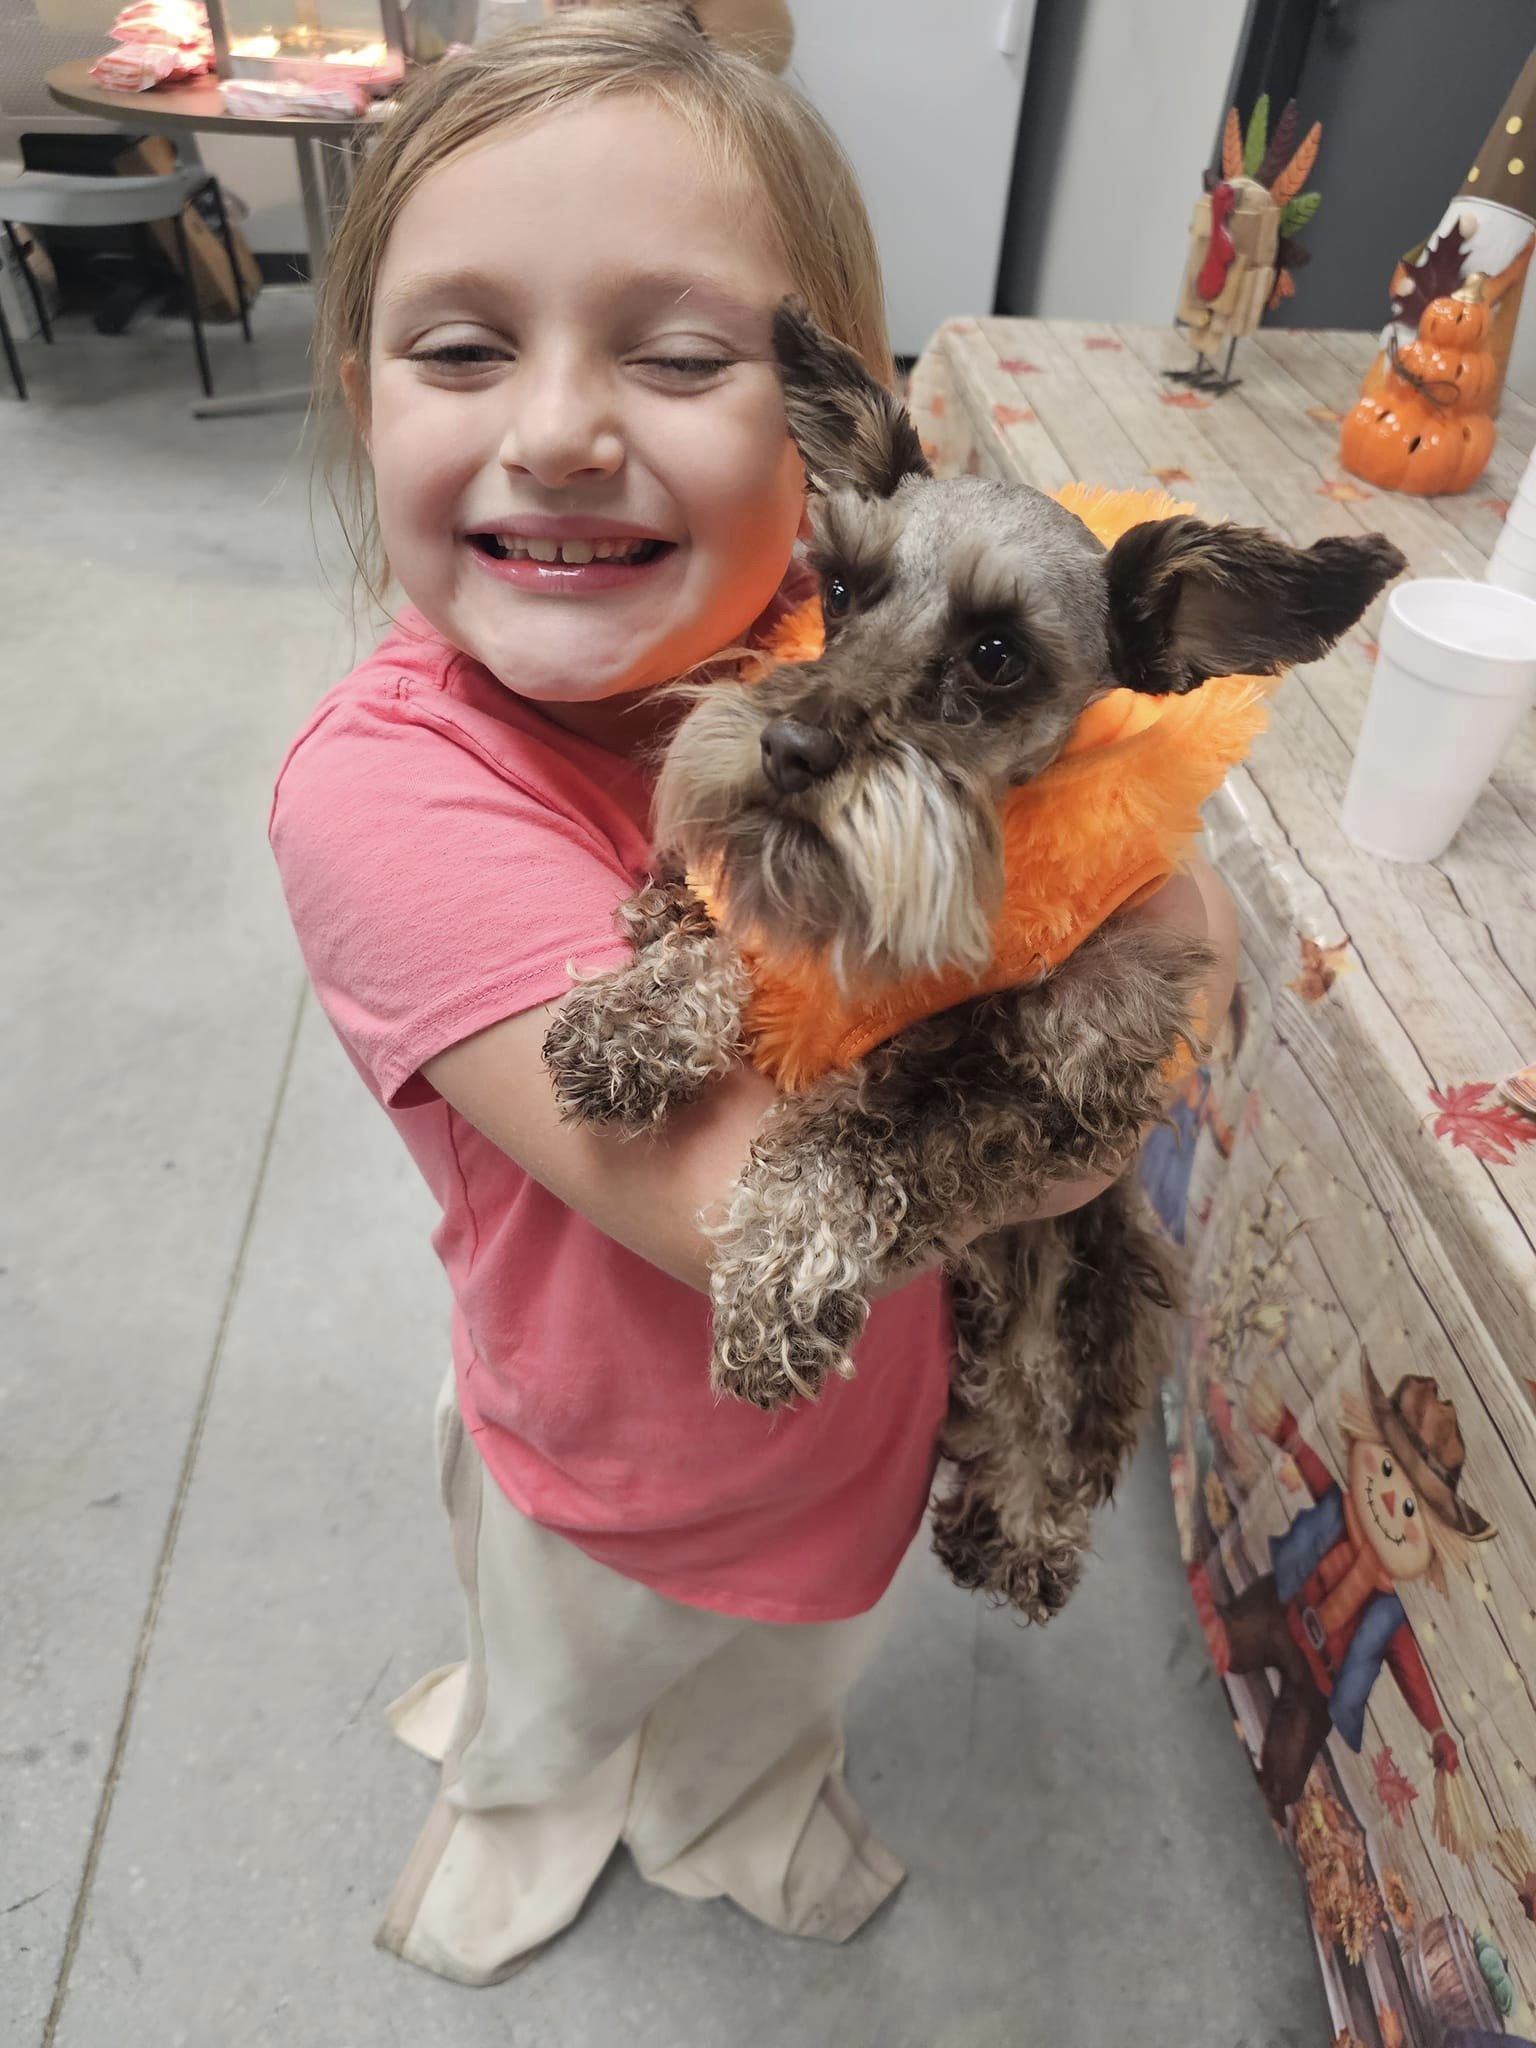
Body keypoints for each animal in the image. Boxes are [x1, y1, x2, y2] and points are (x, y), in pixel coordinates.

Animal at [544, 307, 1409, 1613]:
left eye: (998, 654)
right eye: (838, 587)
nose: (788, 749)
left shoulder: (1057, 1076)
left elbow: (857, 1133)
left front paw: (779, 1281)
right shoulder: (705, 895)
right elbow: (714, 945)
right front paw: (632, 1025)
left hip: (1094, 1269)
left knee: (1054, 1408)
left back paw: (1023, 1532)